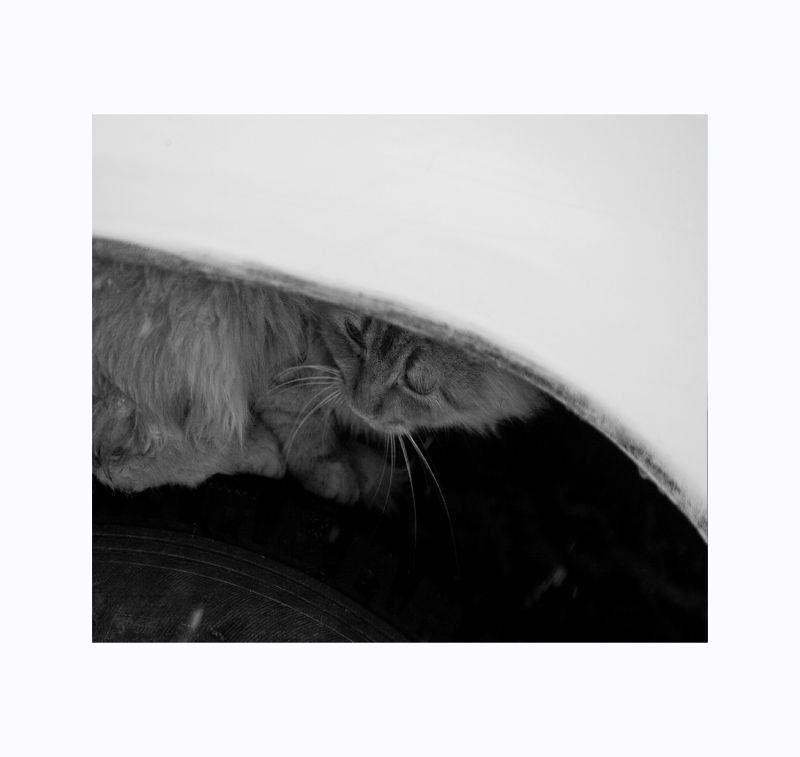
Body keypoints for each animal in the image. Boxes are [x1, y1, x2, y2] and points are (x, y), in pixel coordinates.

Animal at [92, 250, 546, 505]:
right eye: (354, 332)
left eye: (417, 383)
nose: (362, 403)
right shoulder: (284, 340)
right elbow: (305, 423)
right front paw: (331, 471)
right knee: (126, 463)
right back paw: (262, 451)